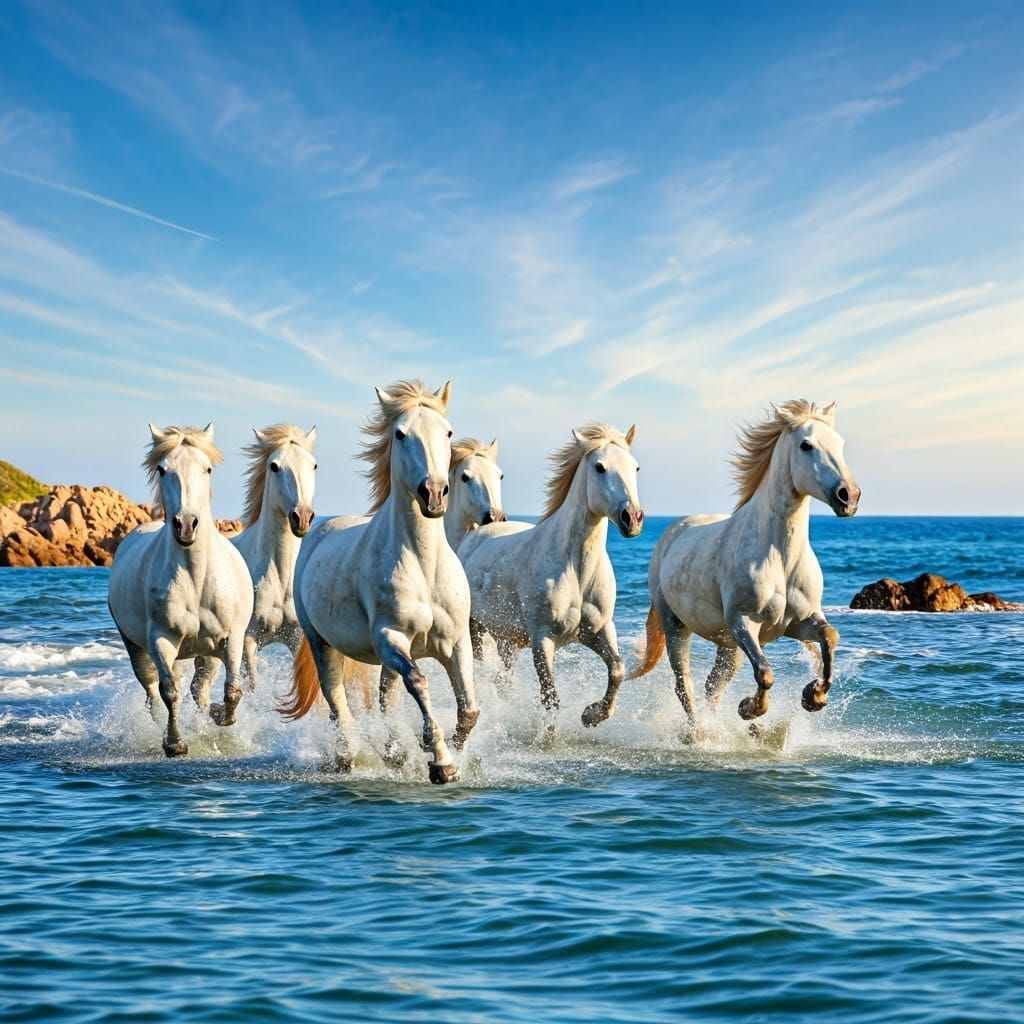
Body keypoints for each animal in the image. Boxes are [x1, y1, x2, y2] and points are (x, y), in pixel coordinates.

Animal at [108, 425, 254, 757]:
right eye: (163, 469)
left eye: (208, 469)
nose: (186, 525)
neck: (196, 579)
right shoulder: (161, 640)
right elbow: (169, 692)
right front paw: (174, 744)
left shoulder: (231, 638)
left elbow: (232, 691)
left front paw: (217, 716)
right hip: (137, 646)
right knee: (152, 690)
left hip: (207, 652)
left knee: (200, 688)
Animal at [190, 424, 318, 710]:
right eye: (274, 466)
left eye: (314, 465)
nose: (302, 517)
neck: (279, 577)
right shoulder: (248, 640)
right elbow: (251, 686)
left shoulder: (296, 640)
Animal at [281, 380, 477, 784]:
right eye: (401, 434)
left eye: (448, 432)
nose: (434, 493)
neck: (423, 567)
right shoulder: (391, 638)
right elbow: (419, 682)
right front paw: (441, 761)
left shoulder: (456, 641)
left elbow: (468, 709)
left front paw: (448, 751)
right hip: (323, 643)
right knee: (336, 698)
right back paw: (347, 757)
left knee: (387, 698)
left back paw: (395, 754)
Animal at [458, 424, 644, 727]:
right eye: (600, 467)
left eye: (635, 467)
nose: (632, 518)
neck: (576, 572)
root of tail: (473, 537)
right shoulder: (542, 640)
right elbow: (550, 698)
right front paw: (548, 732)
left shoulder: (599, 630)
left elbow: (617, 669)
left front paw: (592, 715)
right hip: (476, 628)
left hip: (507, 639)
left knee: (502, 679)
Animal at [628, 400, 860, 730]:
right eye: (806, 445)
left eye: (840, 444)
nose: (849, 497)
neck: (780, 559)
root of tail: (674, 532)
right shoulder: (744, 623)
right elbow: (765, 673)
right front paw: (750, 708)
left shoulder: (799, 622)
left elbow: (830, 637)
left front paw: (813, 696)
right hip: (677, 626)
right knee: (684, 684)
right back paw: (699, 733)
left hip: (728, 644)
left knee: (712, 685)